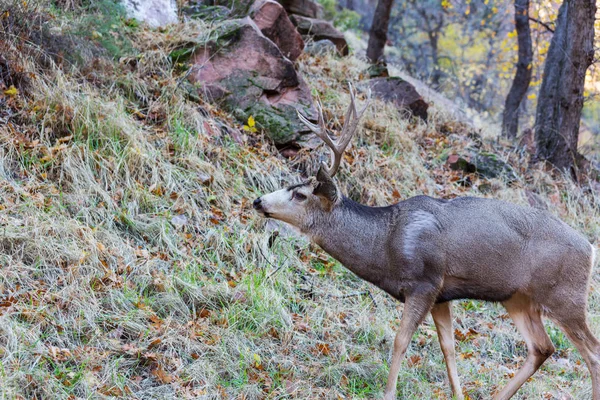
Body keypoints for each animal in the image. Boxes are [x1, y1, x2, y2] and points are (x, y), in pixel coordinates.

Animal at [251, 86, 596, 398]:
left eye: (299, 194)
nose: (257, 200)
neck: (386, 245)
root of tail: (591, 249)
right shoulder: (442, 295)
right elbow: (448, 347)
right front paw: (458, 395)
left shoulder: (424, 283)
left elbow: (400, 341)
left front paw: (388, 394)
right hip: (518, 298)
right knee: (542, 347)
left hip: (566, 296)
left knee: (592, 351)